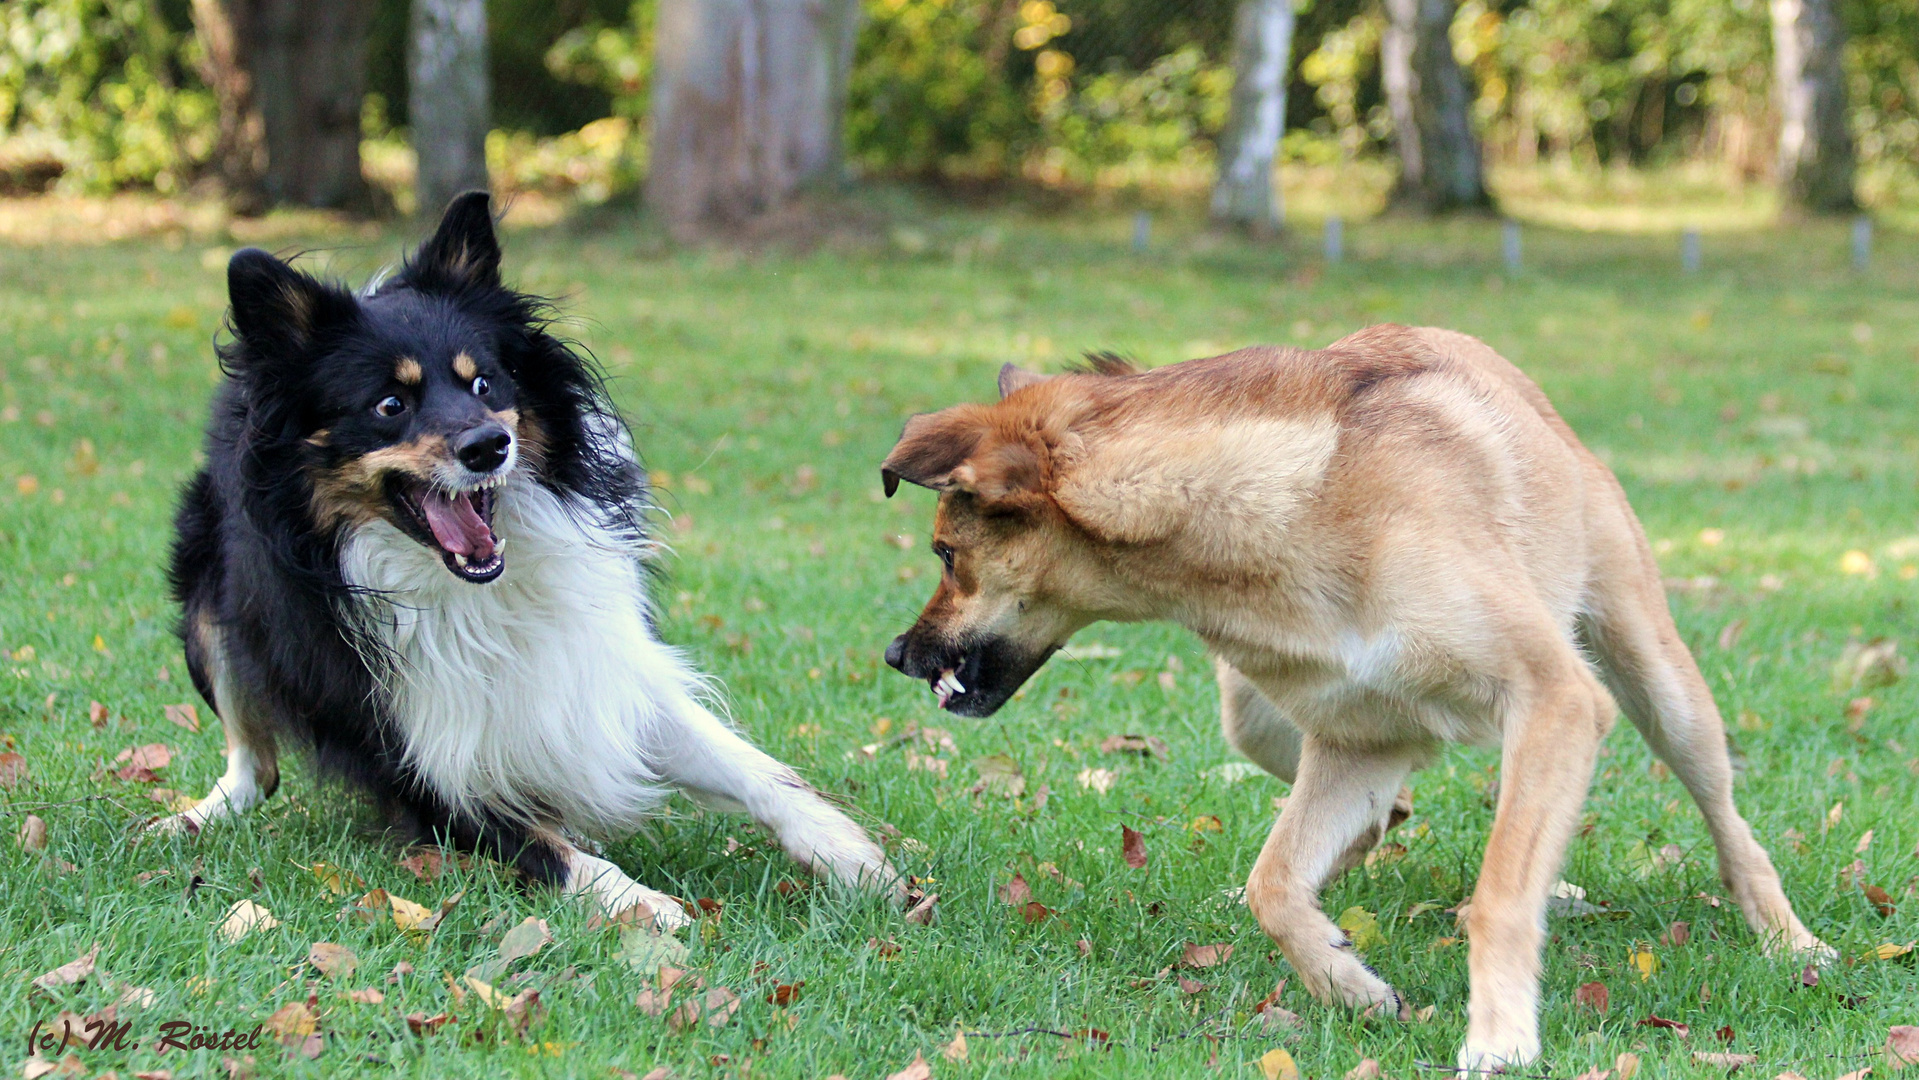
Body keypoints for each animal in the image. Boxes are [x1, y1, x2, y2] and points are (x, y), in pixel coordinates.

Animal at [157, 196, 890, 928]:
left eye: (483, 382)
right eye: (389, 404)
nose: (488, 446)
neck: (471, 592)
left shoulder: (597, 668)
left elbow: (757, 770)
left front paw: (852, 856)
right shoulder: (415, 757)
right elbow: (554, 853)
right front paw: (645, 908)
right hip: (207, 609)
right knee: (252, 766)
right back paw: (187, 822)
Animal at [878, 328, 1819, 1074]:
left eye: (945, 553)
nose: (895, 655)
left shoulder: (1553, 701)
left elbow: (1499, 893)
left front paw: (1500, 1036)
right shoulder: (1353, 744)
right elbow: (1274, 885)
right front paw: (1350, 986)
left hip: (1656, 683)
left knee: (1727, 822)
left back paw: (1788, 939)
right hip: (1257, 718)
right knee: (1344, 815)